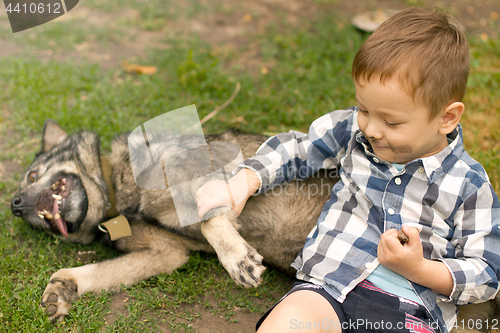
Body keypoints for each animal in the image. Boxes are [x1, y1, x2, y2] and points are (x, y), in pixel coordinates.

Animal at [10, 120, 500, 330]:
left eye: (32, 176)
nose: (15, 205)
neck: (117, 189)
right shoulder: (167, 253)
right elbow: (95, 274)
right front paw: (64, 287)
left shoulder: (205, 181)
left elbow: (211, 220)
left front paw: (235, 258)